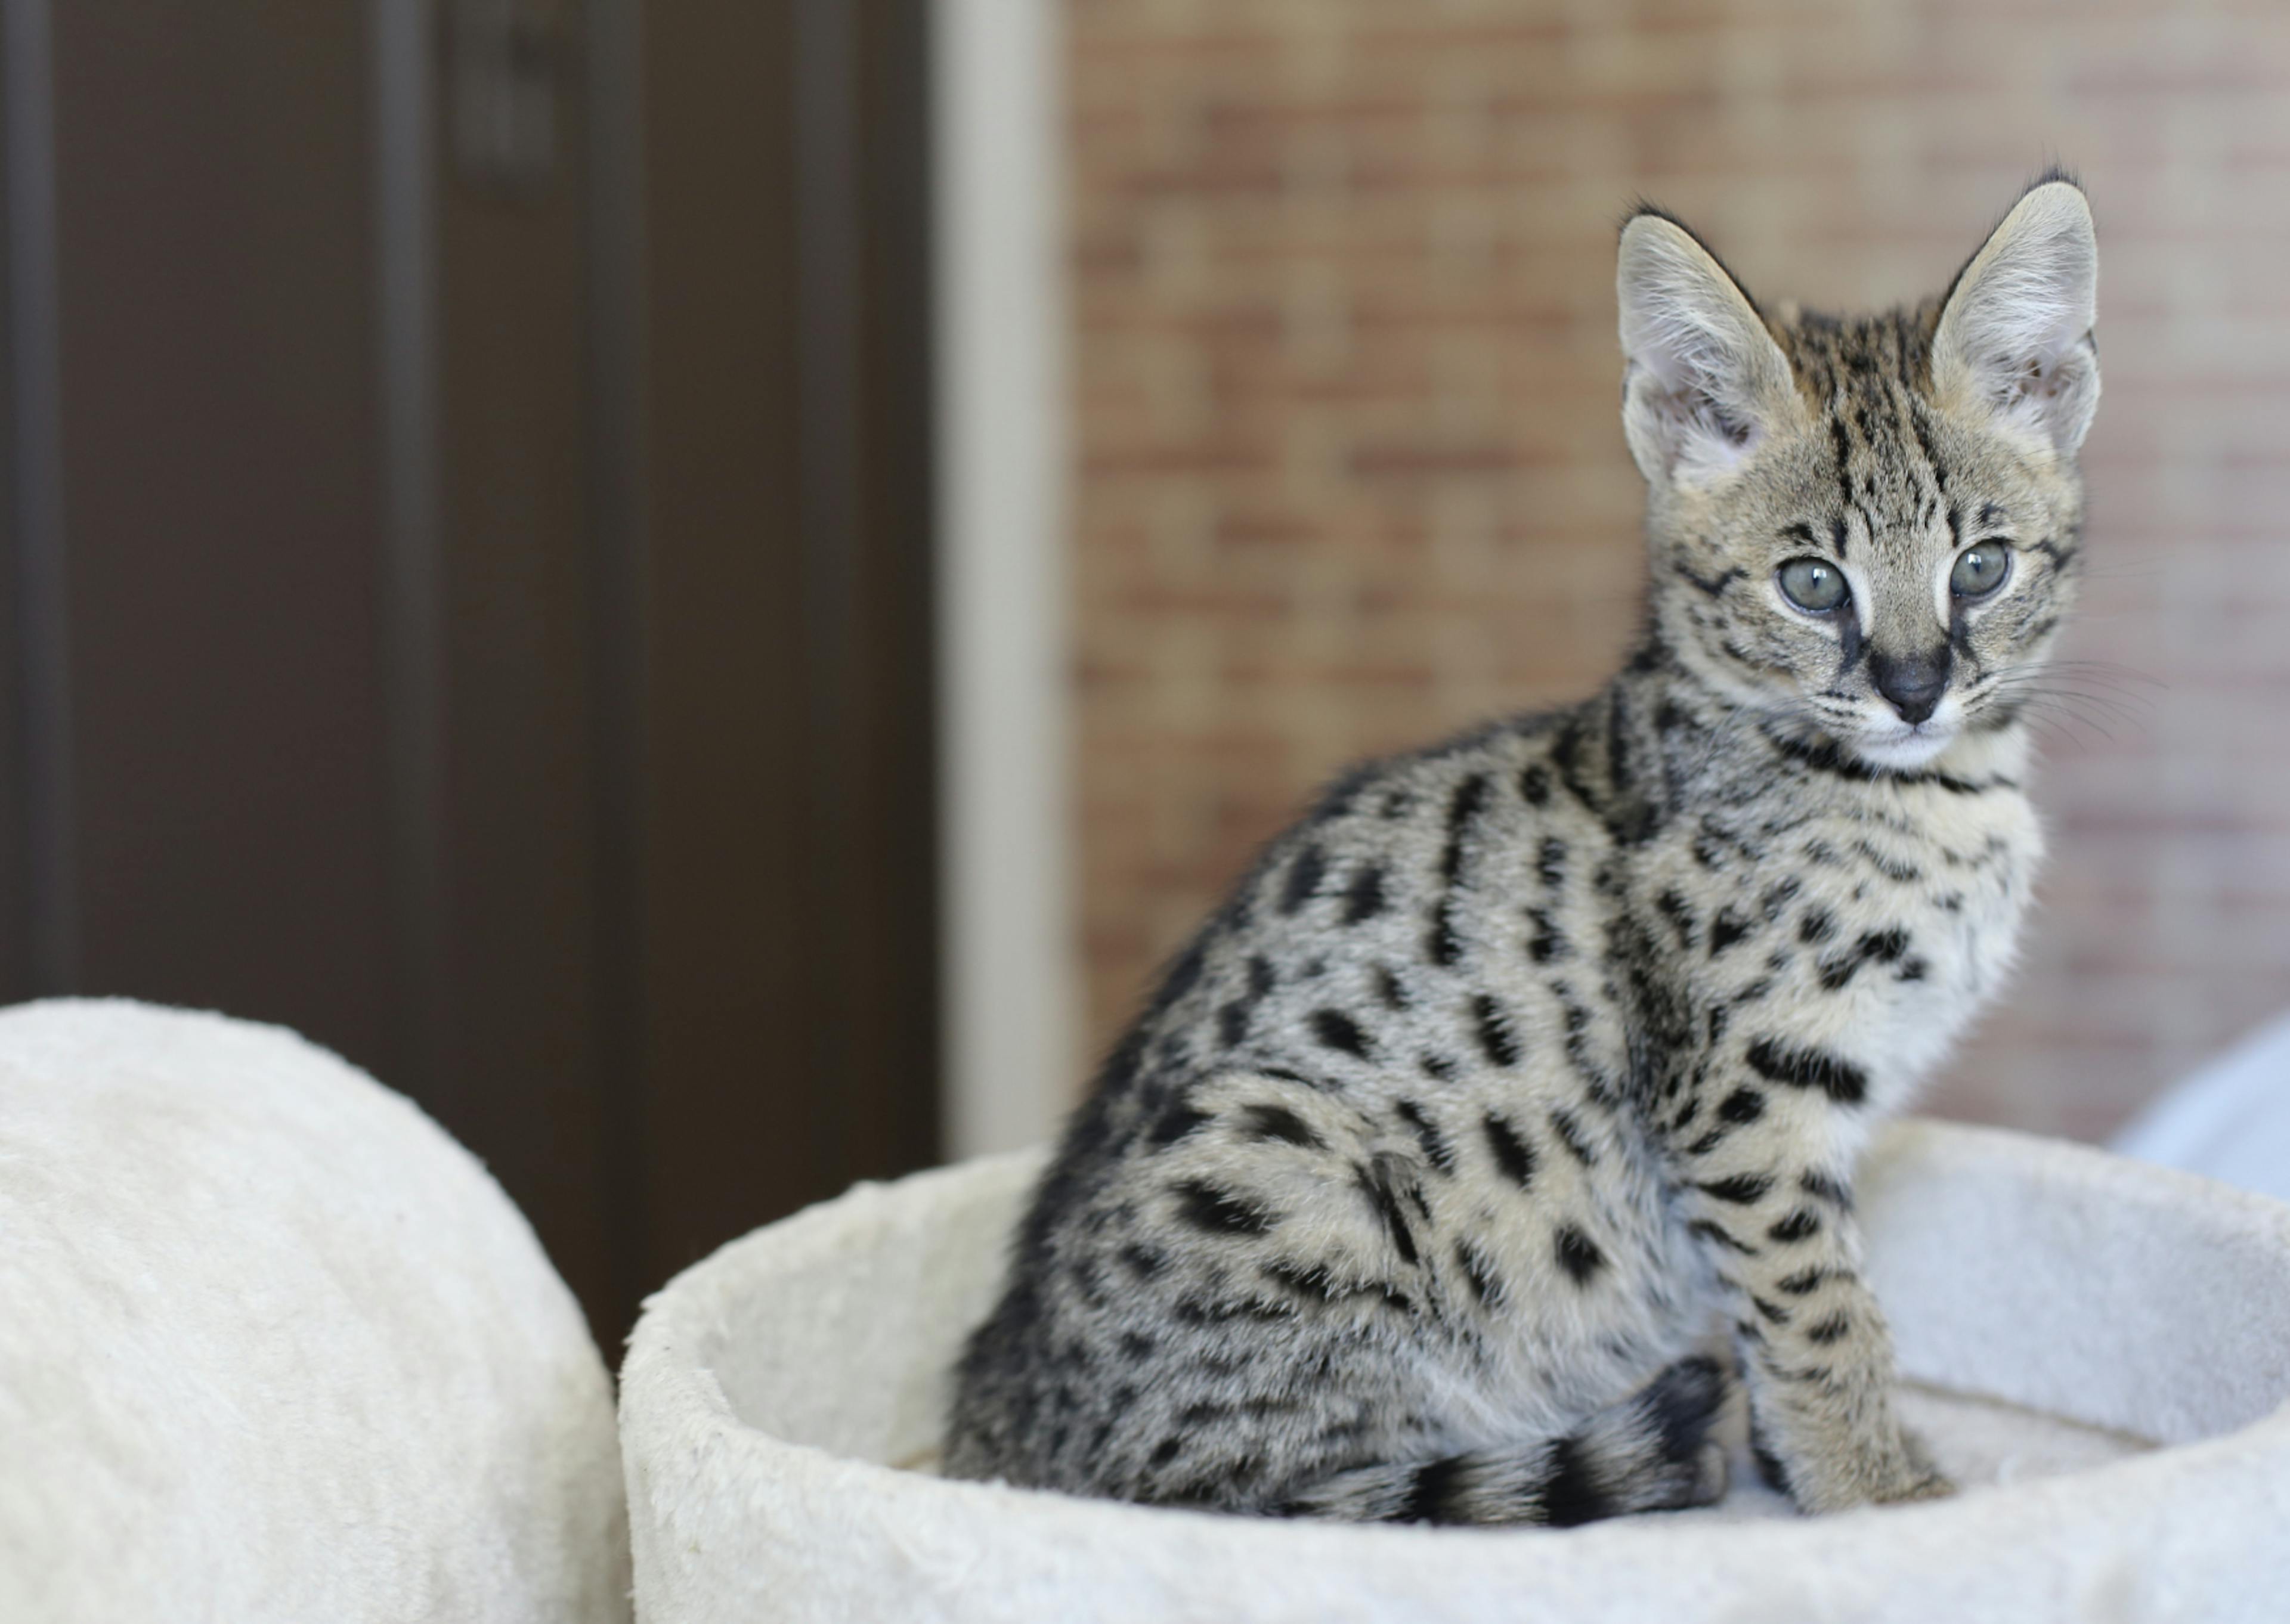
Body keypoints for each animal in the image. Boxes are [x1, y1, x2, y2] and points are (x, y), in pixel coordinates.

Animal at [943, 173, 2097, 1521]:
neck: (1927, 792)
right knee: (1269, 1500)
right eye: (1813, 584)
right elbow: (1820, 1311)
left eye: (1983, 567)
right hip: (1283, 1163)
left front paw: (1839, 1464)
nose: (1916, 688)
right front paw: (1877, 1494)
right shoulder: (1744, 1102)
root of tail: (993, 1420)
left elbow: (1797, 1307)